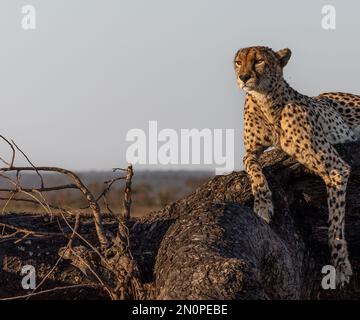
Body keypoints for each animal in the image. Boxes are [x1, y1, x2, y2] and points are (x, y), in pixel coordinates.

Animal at [232, 45, 358, 288]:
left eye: (259, 60)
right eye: (238, 62)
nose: (243, 77)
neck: (266, 101)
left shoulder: (335, 168)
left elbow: (335, 224)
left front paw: (339, 265)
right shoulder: (251, 151)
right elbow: (252, 167)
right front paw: (263, 204)